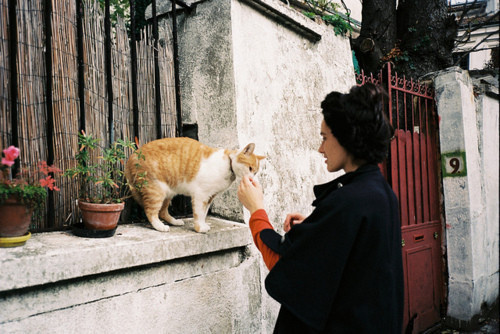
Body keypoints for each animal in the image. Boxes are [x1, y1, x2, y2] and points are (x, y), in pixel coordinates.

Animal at [125, 137, 266, 234]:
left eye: (255, 172)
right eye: (250, 168)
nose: (252, 179)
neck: (227, 165)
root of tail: (131, 156)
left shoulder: (210, 197)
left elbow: (203, 213)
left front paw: (203, 225)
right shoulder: (200, 195)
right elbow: (198, 213)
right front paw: (199, 228)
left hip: (168, 192)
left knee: (162, 212)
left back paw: (175, 221)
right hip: (156, 191)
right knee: (151, 212)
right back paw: (160, 226)